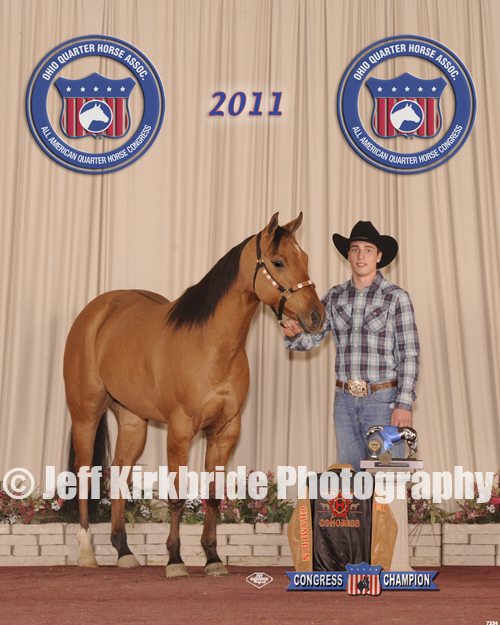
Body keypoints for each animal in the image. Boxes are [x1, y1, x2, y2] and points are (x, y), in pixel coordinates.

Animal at [63, 211, 324, 576]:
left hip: (133, 422)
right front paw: (175, 559)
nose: (316, 316)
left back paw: (124, 551)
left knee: (118, 474)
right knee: (85, 473)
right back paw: (87, 551)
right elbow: (176, 497)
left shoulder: (225, 431)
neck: (211, 345)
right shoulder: (180, 431)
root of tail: (97, 312)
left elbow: (213, 497)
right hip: (85, 413)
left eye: (306, 259)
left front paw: (213, 558)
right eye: (278, 261)